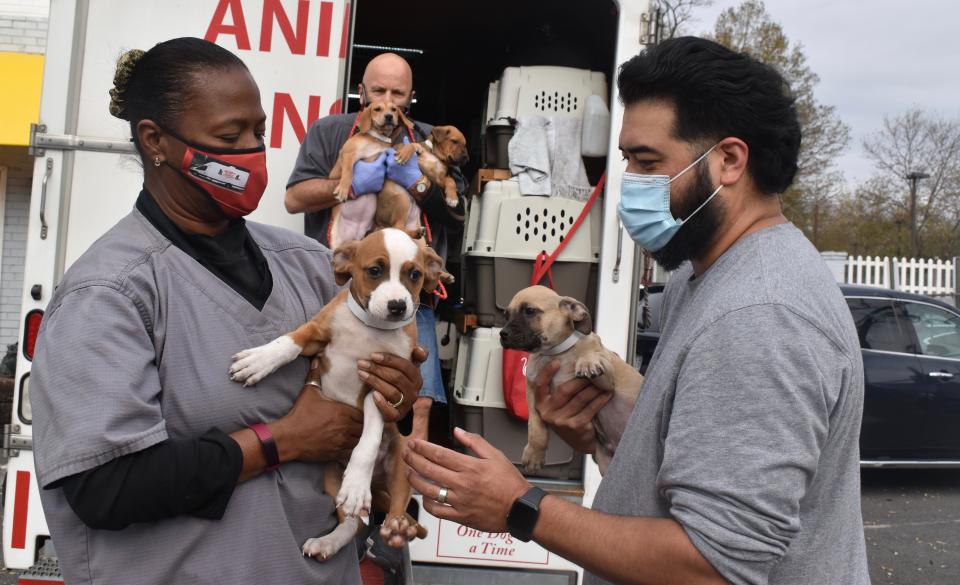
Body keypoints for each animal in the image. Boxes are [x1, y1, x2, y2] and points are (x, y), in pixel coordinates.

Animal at [496, 286, 644, 472]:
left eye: (529, 311)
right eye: (506, 315)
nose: (503, 334)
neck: (555, 354)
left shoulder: (607, 381)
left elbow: (591, 353)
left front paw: (587, 361)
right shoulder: (532, 393)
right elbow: (535, 427)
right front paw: (534, 454)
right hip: (605, 462)